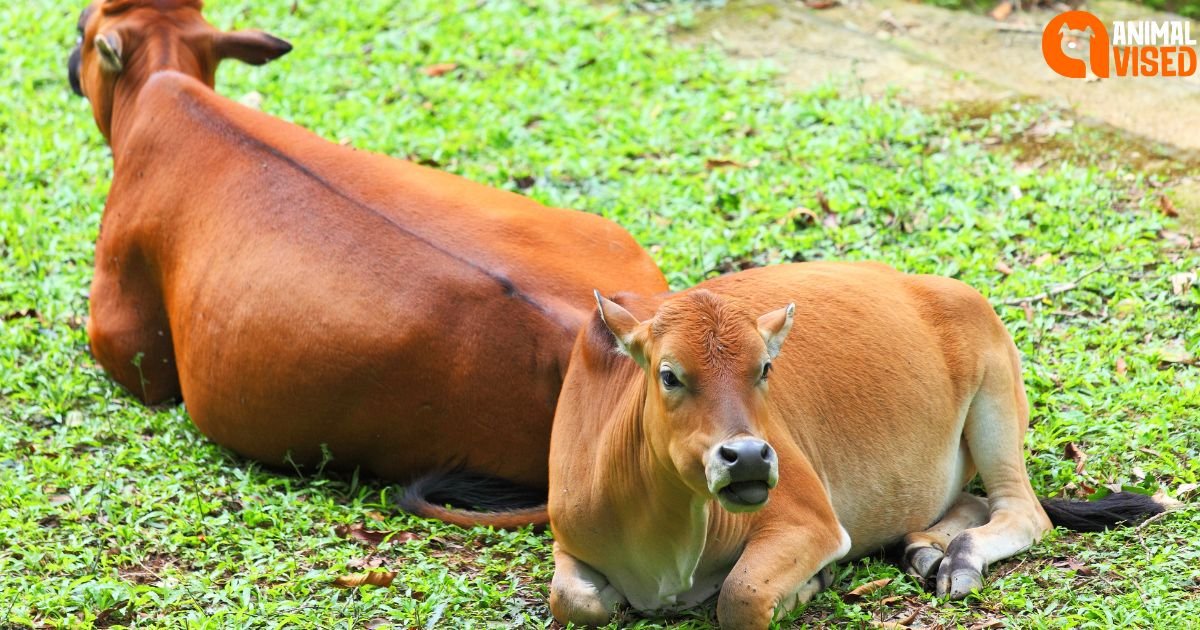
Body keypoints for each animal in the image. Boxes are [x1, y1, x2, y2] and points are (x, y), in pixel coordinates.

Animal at [549, 260, 1166, 624]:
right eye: (669, 375)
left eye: (765, 368)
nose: (747, 457)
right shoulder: (568, 537)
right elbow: (573, 601)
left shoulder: (811, 520)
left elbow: (741, 596)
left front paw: (806, 588)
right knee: (971, 502)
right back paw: (924, 549)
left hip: (996, 398)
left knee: (1022, 511)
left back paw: (957, 559)